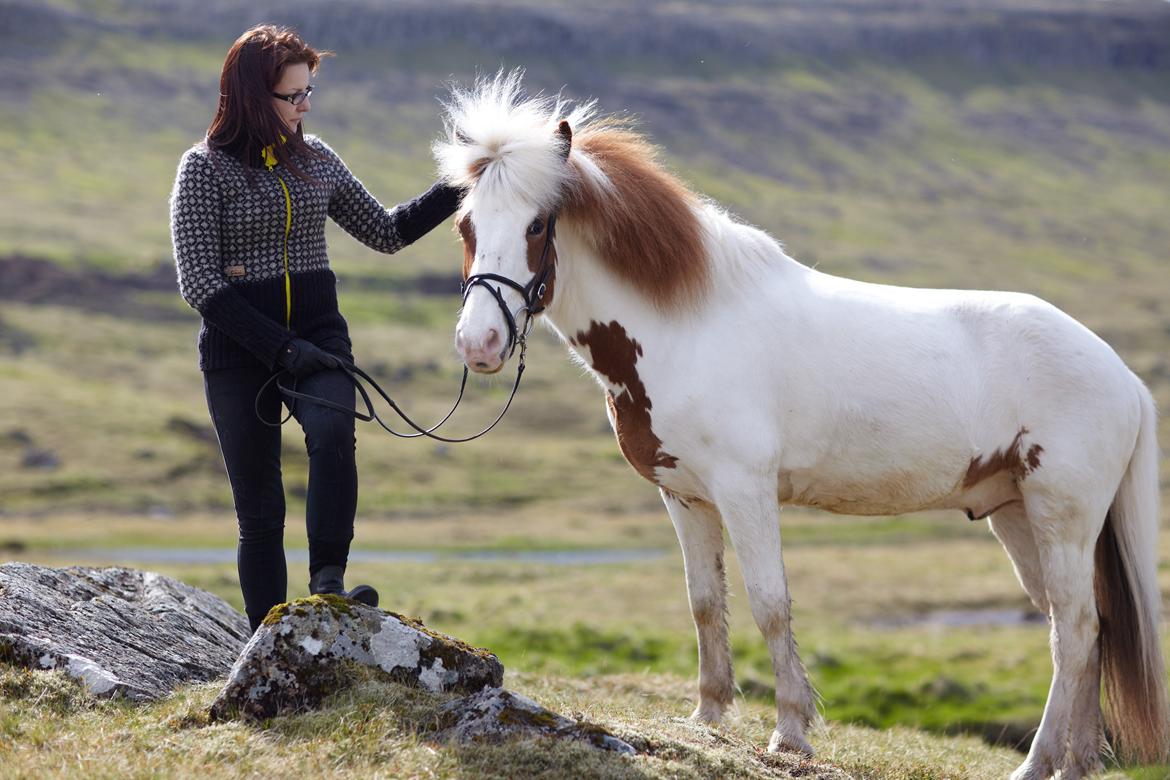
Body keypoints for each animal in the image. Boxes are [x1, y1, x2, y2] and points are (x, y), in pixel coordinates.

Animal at [432, 73, 1170, 780]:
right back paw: (1075, 762)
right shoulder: (685, 496)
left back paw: (1037, 762)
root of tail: (1121, 375)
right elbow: (705, 603)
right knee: (1085, 629)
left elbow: (770, 603)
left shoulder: (746, 490)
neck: (689, 325)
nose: (478, 344)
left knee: (1072, 630)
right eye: (467, 226)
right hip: (1017, 515)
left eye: (536, 226)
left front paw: (790, 733)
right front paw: (707, 718)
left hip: (1060, 516)